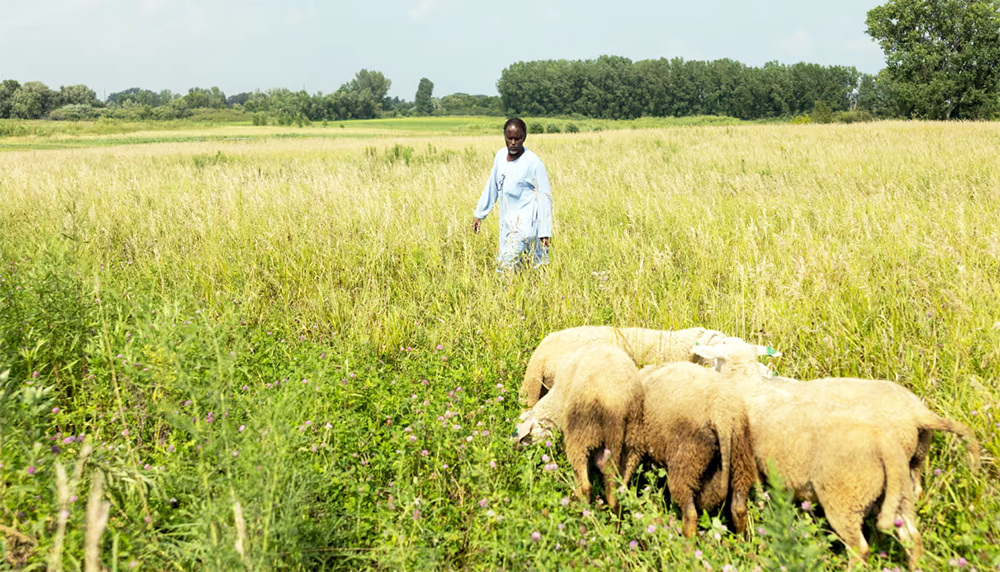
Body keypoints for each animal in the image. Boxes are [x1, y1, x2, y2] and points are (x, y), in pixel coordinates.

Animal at [512, 342, 644, 512]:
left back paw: (580, 509)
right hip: (632, 443)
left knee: (585, 484)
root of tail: (615, 403)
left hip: (581, 435)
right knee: (619, 489)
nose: (515, 450)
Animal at [692, 338, 980, 568]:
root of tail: (918, 411)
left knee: (860, 546)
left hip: (846, 497)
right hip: (906, 479)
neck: (749, 385)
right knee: (911, 532)